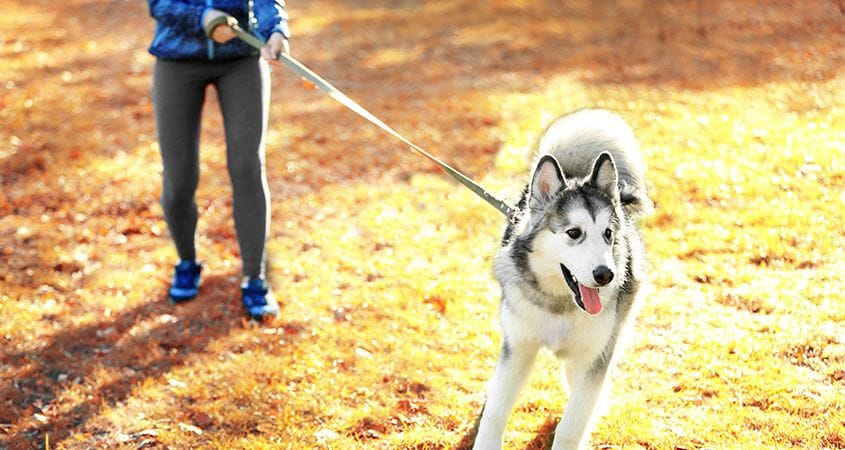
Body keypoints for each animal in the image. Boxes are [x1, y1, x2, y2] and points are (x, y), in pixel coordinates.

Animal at [474, 109, 652, 450]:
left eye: (607, 234)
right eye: (573, 233)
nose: (605, 275)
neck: (559, 304)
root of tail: (574, 173)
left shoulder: (594, 357)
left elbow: (572, 425)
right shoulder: (517, 347)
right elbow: (496, 412)